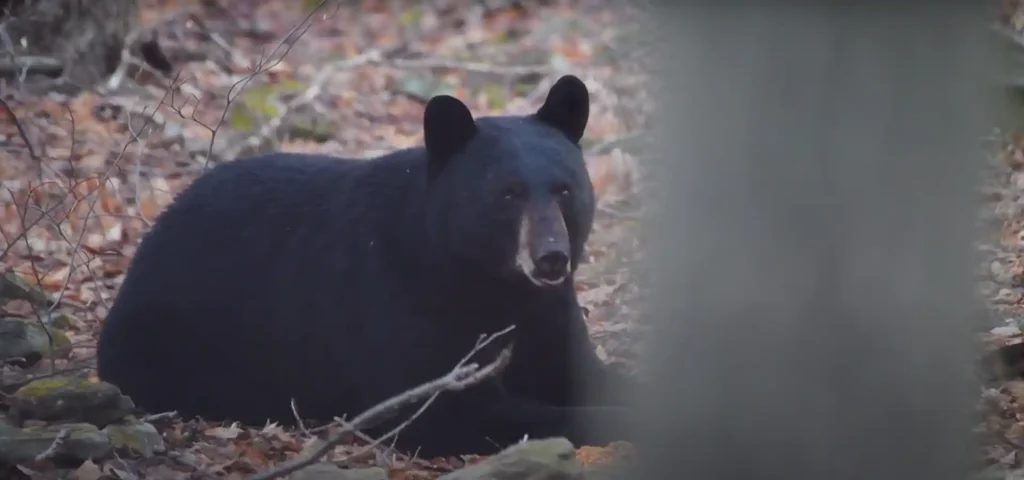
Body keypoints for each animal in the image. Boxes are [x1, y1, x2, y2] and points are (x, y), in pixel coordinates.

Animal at [95, 74, 637, 457]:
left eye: (563, 189)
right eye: (509, 193)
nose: (551, 256)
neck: (489, 282)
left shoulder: (549, 315)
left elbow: (579, 369)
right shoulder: (402, 302)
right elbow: (444, 409)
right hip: (175, 337)